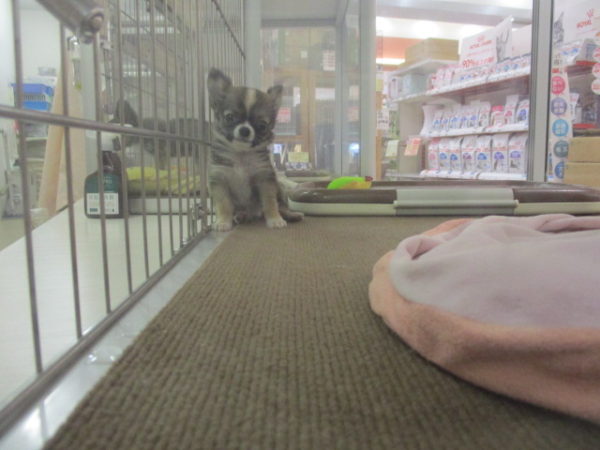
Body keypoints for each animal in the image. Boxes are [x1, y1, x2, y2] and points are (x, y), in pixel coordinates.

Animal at [206, 68, 303, 231]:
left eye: (262, 126)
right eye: (229, 117)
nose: (245, 130)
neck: (241, 154)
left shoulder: (265, 180)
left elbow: (270, 203)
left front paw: (275, 219)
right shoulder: (220, 181)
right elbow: (224, 204)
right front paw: (223, 222)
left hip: (279, 191)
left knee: (282, 206)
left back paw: (291, 215)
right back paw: (241, 216)